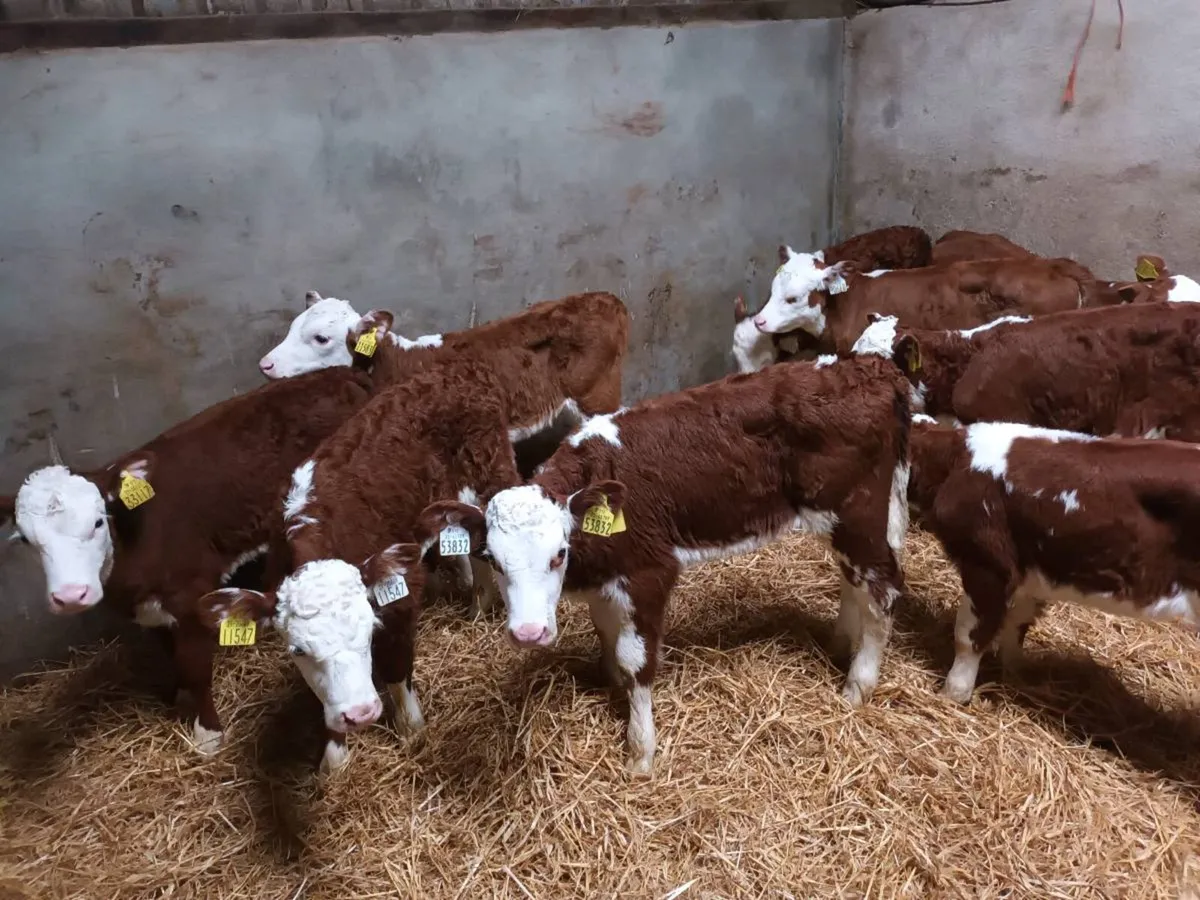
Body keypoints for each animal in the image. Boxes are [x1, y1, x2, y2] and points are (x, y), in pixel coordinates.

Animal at [0, 368, 374, 754]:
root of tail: (339, 372)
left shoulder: (190, 593)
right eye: (25, 538)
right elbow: (170, 654)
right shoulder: (151, 608)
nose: (71, 595)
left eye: (98, 521)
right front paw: (180, 699)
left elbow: (195, 668)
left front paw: (208, 733)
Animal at [195, 351, 527, 774]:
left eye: (369, 630)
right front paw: (334, 757)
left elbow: (397, 667)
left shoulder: (399, 597)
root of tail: (458, 369)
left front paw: (411, 728)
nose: (360, 714)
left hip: (491, 474)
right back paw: (474, 598)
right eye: (298, 650)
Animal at [421, 356, 913, 773]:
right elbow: (607, 634)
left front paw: (641, 752)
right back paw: (840, 642)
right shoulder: (609, 577)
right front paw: (612, 687)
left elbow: (636, 658)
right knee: (854, 578)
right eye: (492, 560)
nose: (528, 633)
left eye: (558, 553)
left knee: (885, 587)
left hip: (856, 511)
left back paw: (857, 685)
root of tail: (871, 368)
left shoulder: (648, 574)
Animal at [907, 418, 1200, 704]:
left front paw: (951, 695)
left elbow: (970, 637)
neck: (957, 460)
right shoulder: (1029, 572)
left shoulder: (988, 564)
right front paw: (1015, 675)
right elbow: (1018, 623)